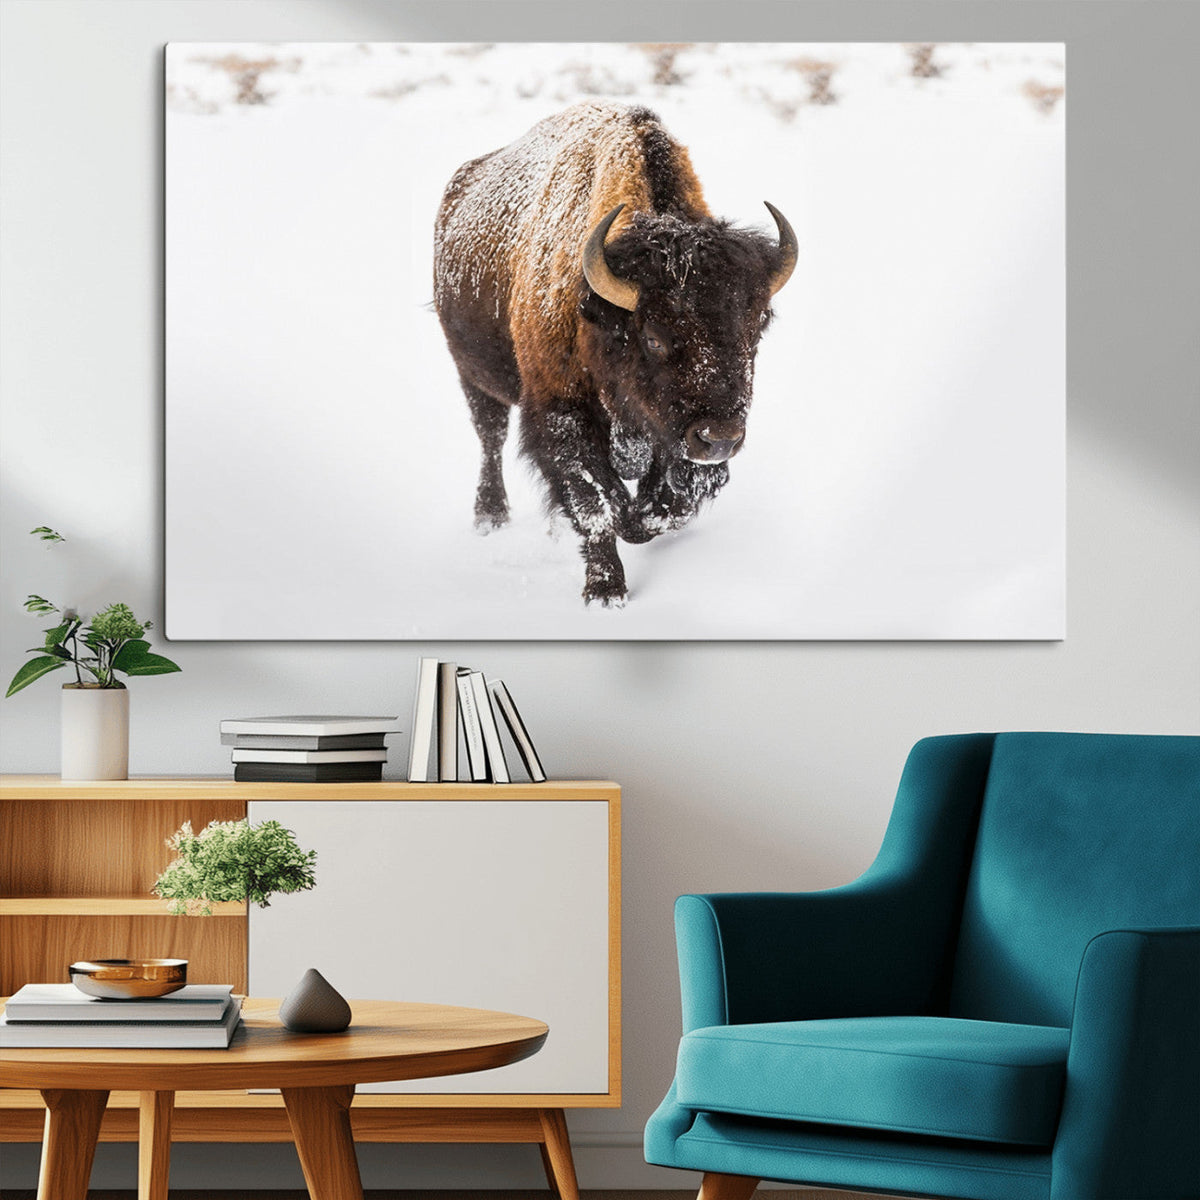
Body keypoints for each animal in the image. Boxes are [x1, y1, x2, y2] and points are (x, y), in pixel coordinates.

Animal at [434, 100, 795, 606]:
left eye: (757, 328)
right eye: (654, 337)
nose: (720, 439)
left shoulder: (672, 437)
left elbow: (669, 504)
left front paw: (640, 520)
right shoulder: (562, 414)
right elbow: (596, 504)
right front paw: (605, 591)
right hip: (473, 374)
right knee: (490, 436)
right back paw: (490, 517)